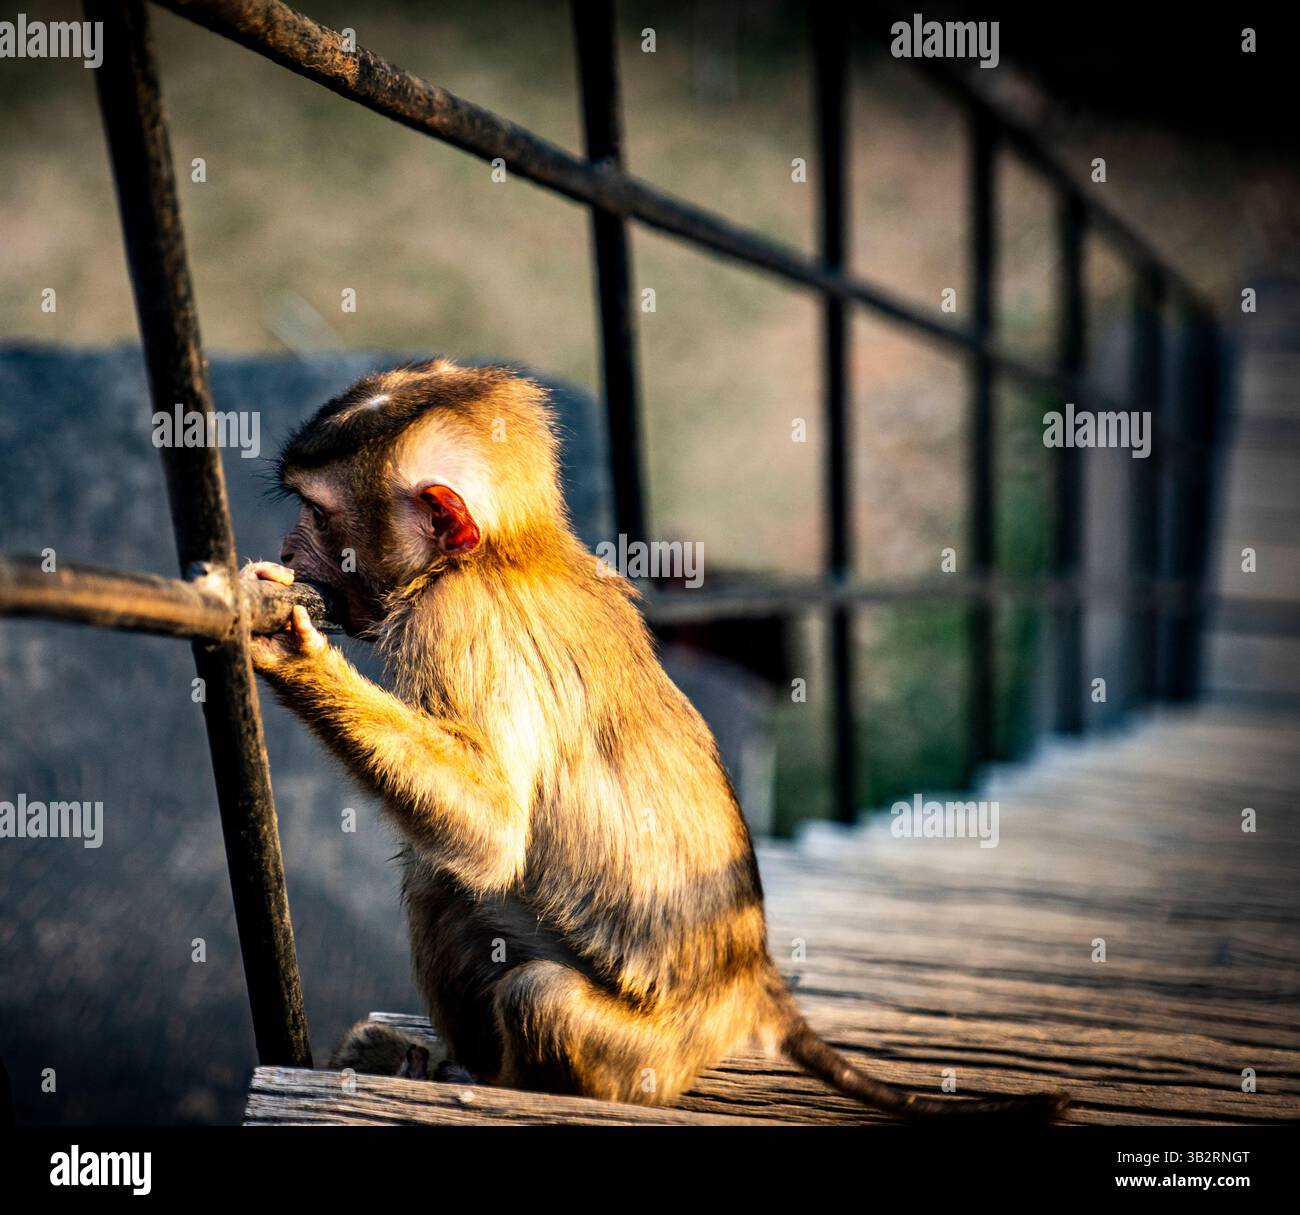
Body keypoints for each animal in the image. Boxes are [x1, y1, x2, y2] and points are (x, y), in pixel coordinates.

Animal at [243, 358, 1069, 1120]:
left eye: (316, 514)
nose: (285, 544)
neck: (504, 551)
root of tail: (750, 979)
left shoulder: (453, 620)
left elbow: (490, 830)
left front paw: (293, 655)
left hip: (654, 1052)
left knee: (531, 980)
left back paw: (486, 1078)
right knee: (439, 886)